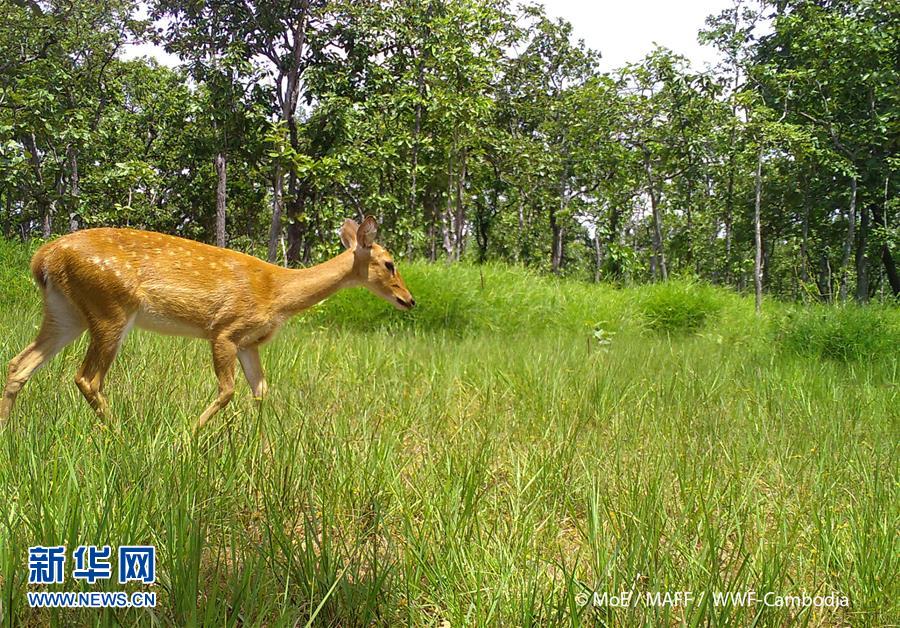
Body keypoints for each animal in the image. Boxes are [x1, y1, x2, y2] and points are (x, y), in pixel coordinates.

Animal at [0, 216, 414, 432]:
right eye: (390, 263)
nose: (409, 300)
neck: (278, 292)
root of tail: (43, 257)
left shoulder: (250, 342)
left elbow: (261, 391)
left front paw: (257, 442)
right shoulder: (225, 329)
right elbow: (228, 390)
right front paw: (192, 434)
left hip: (65, 311)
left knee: (20, 363)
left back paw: (7, 427)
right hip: (110, 307)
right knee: (86, 377)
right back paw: (120, 434)